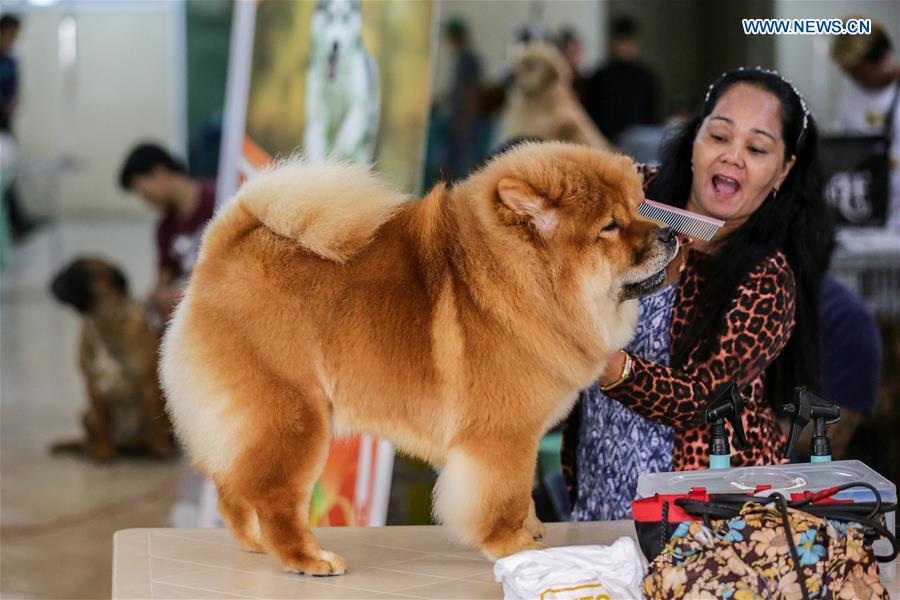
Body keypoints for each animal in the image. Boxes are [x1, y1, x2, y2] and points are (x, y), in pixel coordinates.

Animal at [49, 256, 174, 460]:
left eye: (82, 272)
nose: (55, 279)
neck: (100, 320)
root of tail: (124, 443)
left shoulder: (147, 384)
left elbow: (153, 419)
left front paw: (159, 447)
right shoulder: (93, 386)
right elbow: (102, 422)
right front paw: (102, 450)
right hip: (86, 413)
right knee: (91, 434)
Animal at [160, 142, 676, 576]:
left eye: (638, 210)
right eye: (611, 226)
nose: (671, 234)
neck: (517, 282)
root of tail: (222, 250)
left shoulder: (520, 436)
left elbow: (524, 493)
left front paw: (531, 530)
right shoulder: (502, 436)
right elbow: (505, 495)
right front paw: (511, 545)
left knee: (232, 484)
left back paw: (253, 542)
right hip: (294, 416)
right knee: (274, 497)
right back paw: (308, 559)